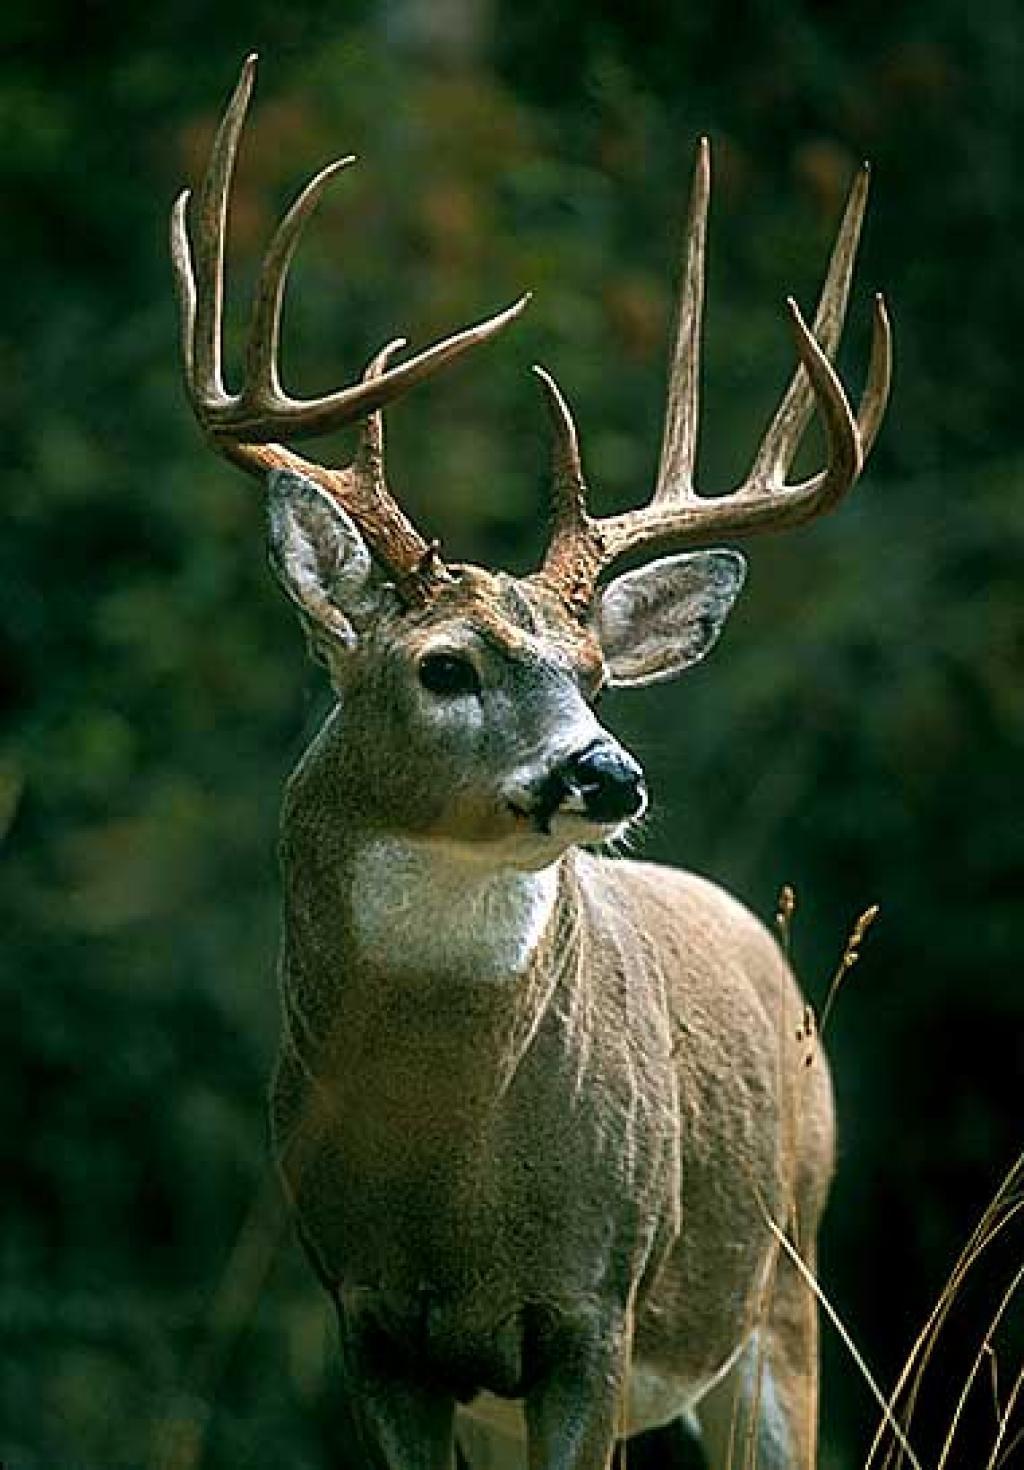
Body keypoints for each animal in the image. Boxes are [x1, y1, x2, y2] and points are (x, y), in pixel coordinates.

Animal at [171, 56, 891, 1470]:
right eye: (445, 666)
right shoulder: (369, 1320)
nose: (606, 775)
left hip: (783, 1294)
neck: (449, 1175)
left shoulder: (592, 1307)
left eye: (596, 675)